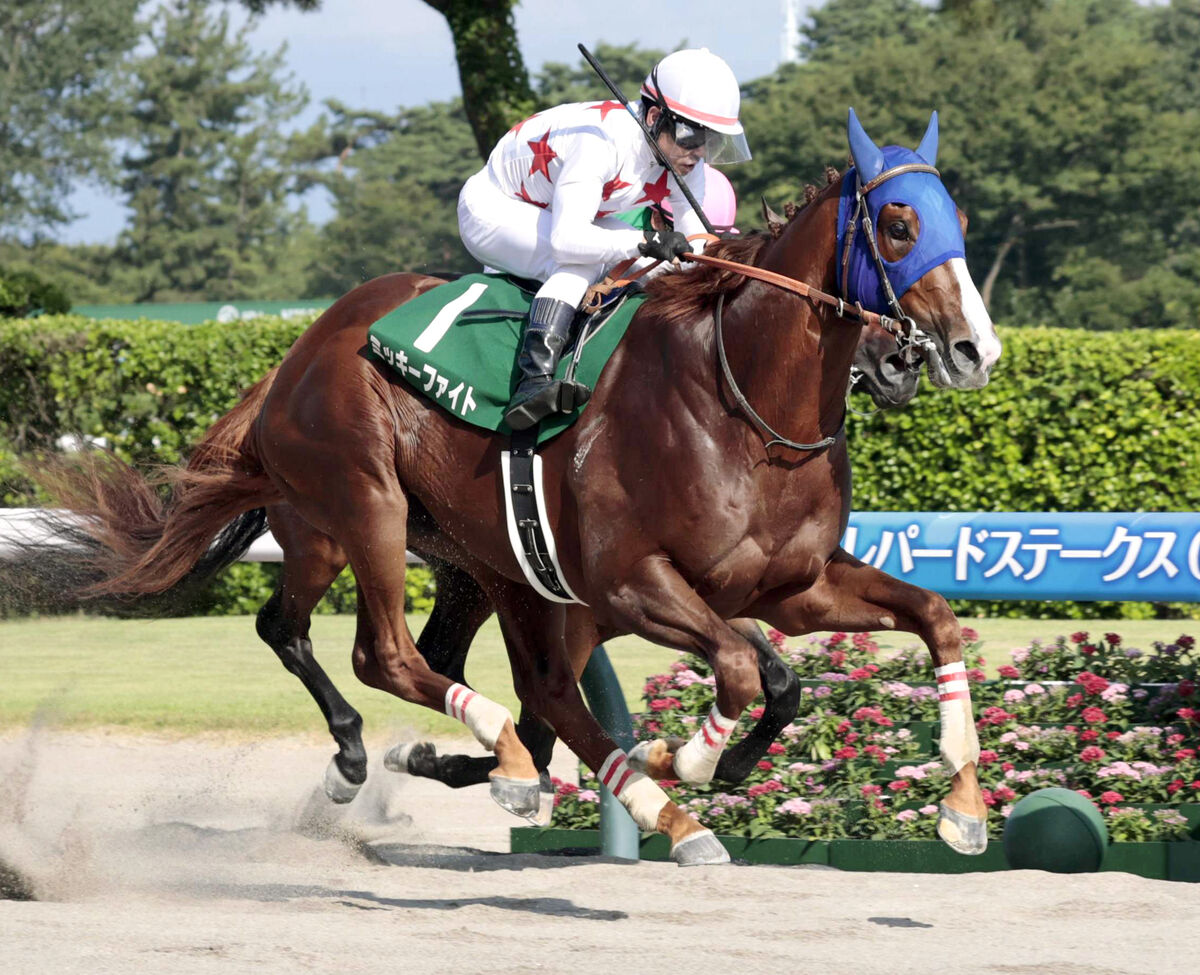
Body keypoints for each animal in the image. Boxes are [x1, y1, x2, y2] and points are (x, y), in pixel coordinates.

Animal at [23, 110, 998, 864]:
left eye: (960, 218)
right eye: (900, 224)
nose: (971, 350)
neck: (745, 406)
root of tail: (303, 346)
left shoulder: (789, 585)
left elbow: (916, 625)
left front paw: (961, 807)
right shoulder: (628, 580)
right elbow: (733, 668)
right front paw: (687, 765)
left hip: (445, 554)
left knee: (342, 640)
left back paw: (393, 764)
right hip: (364, 506)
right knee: (391, 656)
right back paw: (553, 778)